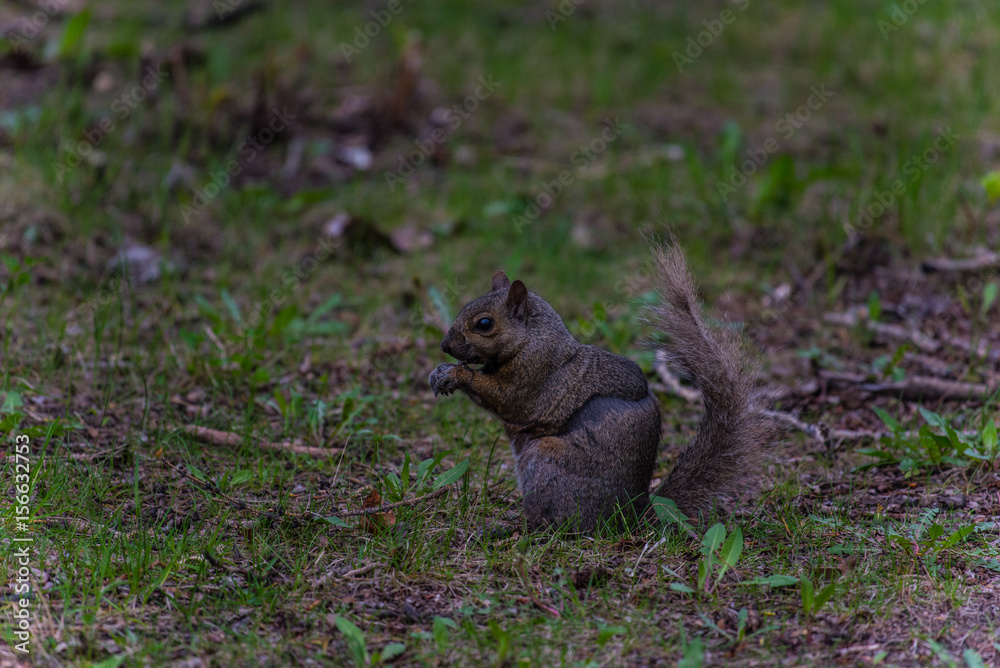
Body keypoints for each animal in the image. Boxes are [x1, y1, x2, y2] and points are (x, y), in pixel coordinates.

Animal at [428, 244, 778, 533]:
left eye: (484, 324)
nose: (445, 346)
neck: (532, 340)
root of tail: (627, 518)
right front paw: (439, 371)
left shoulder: (532, 379)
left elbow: (507, 399)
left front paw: (456, 375)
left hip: (547, 463)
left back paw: (516, 529)